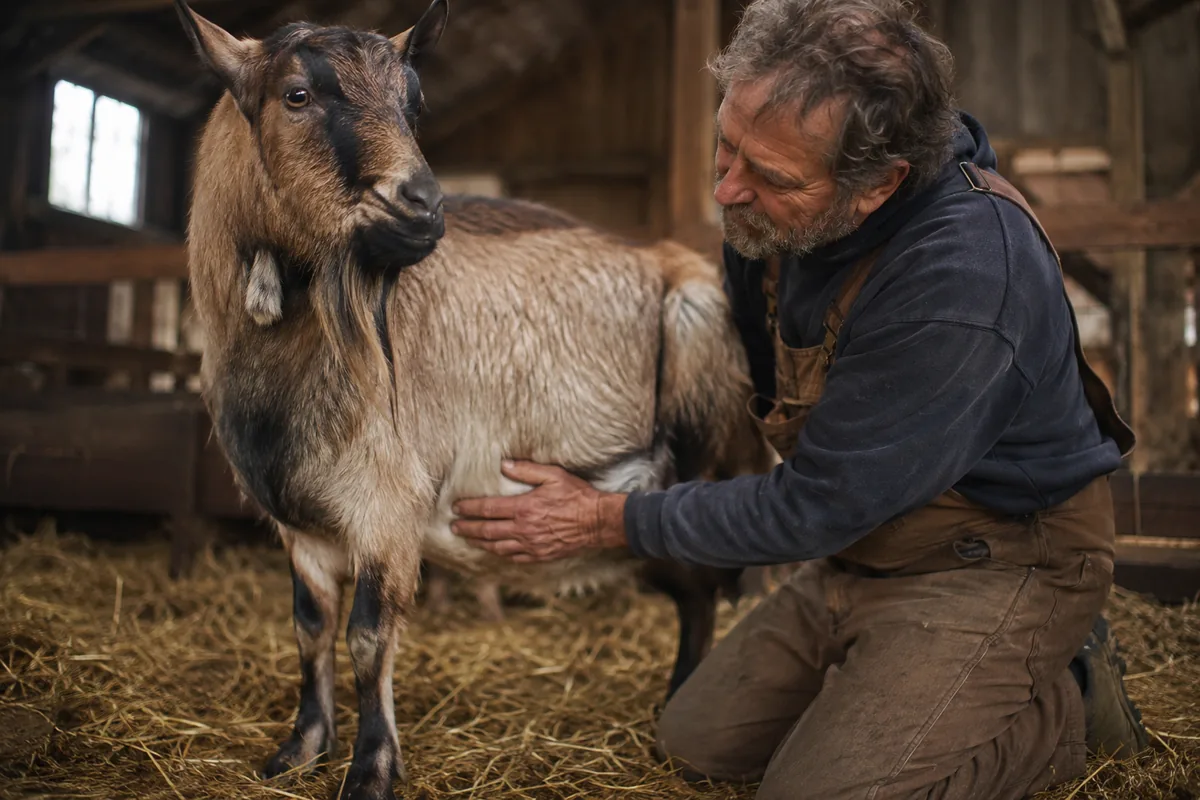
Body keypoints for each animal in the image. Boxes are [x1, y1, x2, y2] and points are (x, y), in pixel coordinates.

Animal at [174, 1, 776, 797]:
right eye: (296, 95)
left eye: (413, 101)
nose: (423, 206)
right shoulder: (301, 523)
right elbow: (309, 627)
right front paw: (299, 750)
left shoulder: (387, 506)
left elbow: (368, 638)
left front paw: (371, 770)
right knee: (692, 587)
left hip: (700, 461)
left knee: (704, 582)